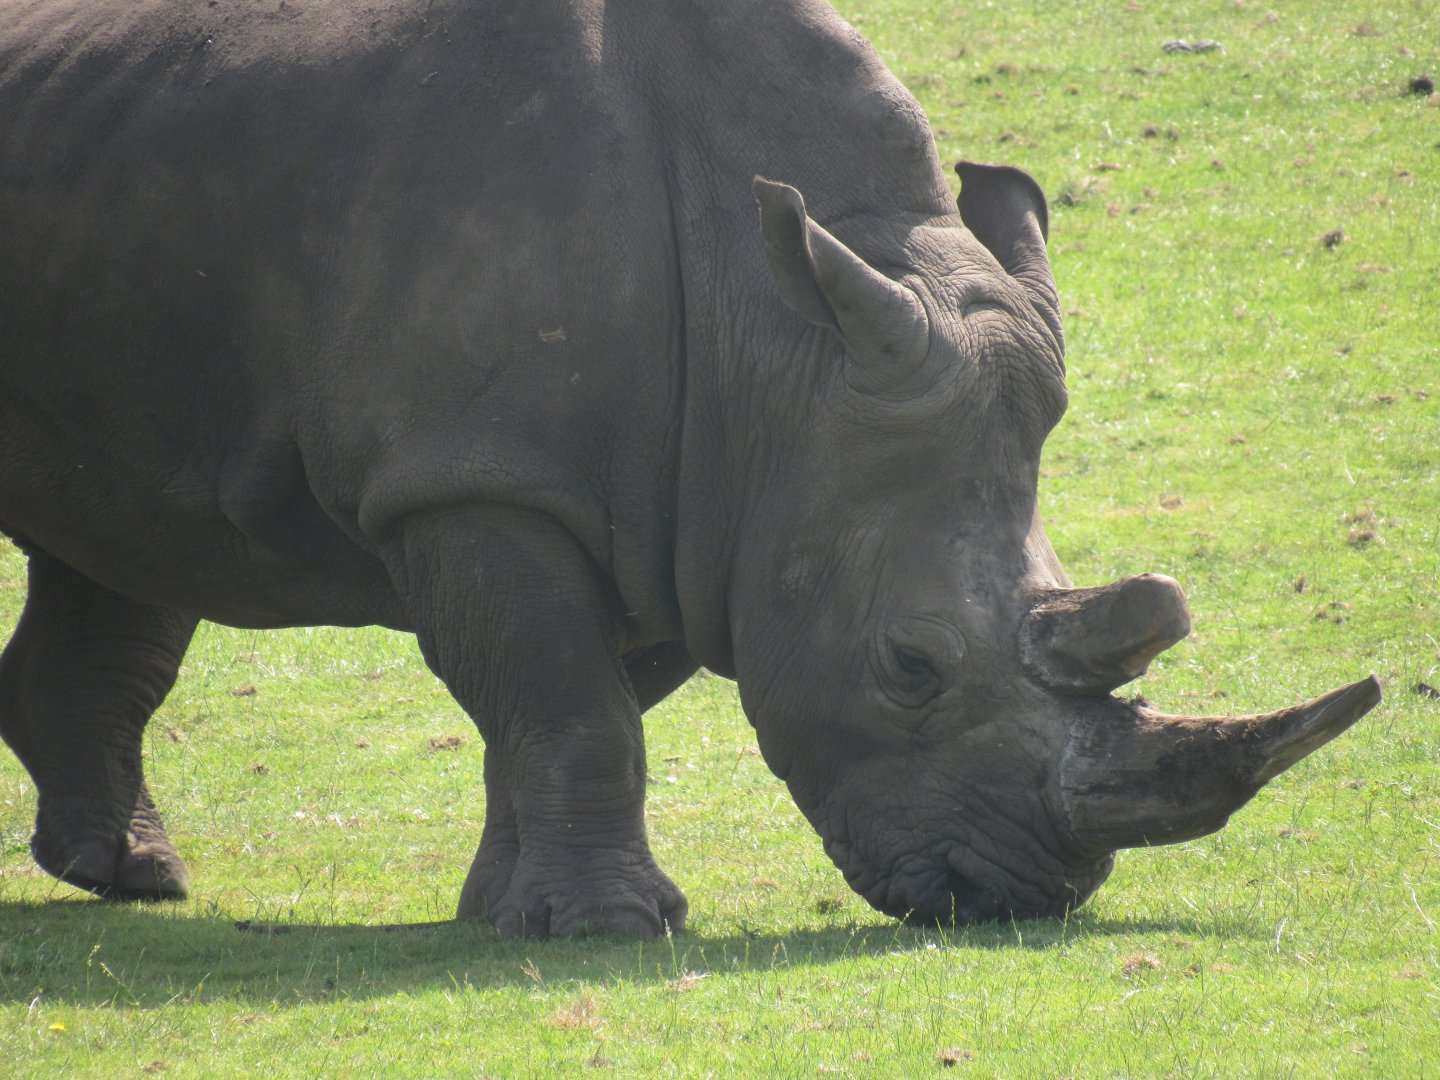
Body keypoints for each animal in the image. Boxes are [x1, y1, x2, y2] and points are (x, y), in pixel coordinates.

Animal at [0, 0, 1379, 938]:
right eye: (910, 667)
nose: (1023, 895)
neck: (769, 342)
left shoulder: (693, 506)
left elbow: (563, 699)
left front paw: (507, 915)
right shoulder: (481, 471)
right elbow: (567, 699)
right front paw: (608, 928)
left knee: (119, 539)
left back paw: (132, 878)